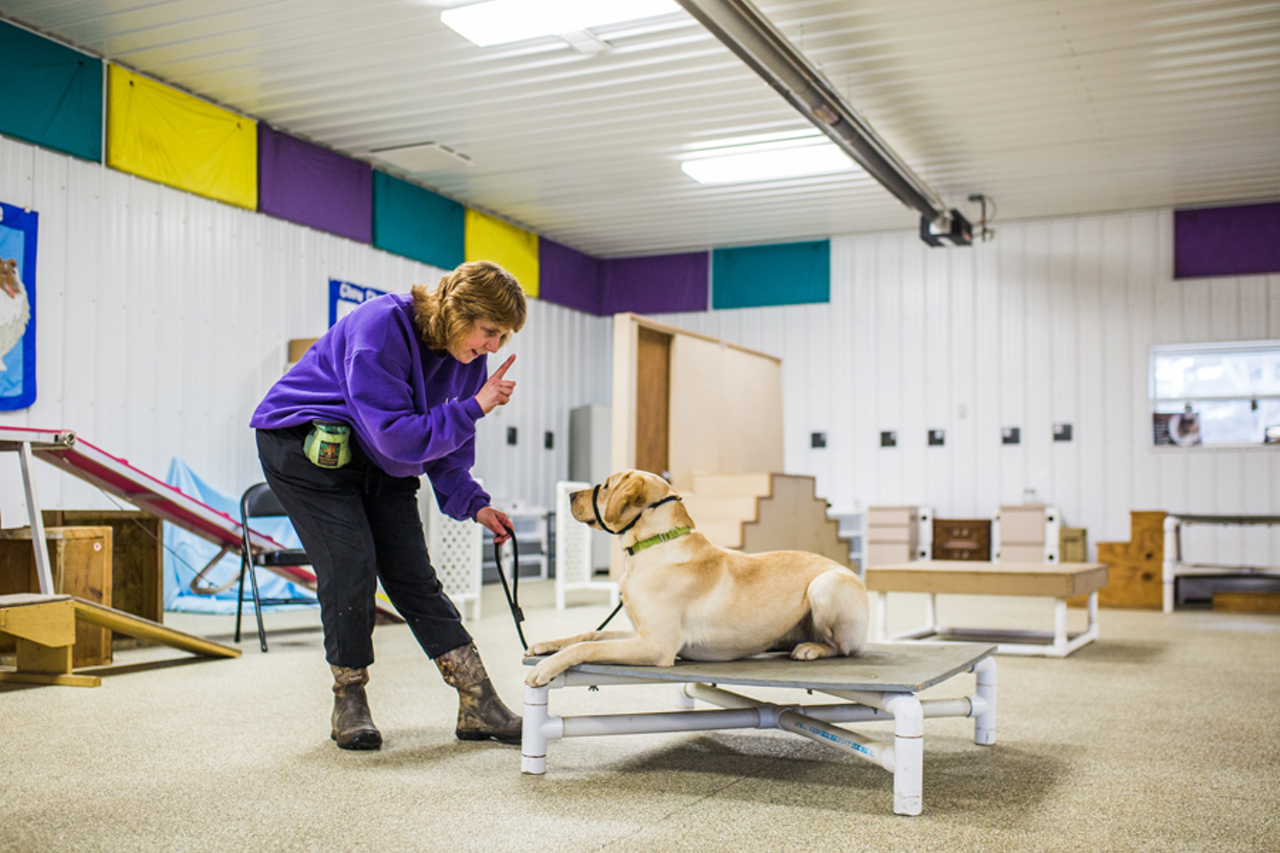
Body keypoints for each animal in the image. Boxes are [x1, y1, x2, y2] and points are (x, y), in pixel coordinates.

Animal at [519, 466, 870, 686]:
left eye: (605, 485)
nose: (569, 496)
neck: (652, 546)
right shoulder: (637, 631)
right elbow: (589, 635)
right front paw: (547, 645)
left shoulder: (657, 645)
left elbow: (585, 648)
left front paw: (547, 667)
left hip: (826, 585)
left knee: (843, 648)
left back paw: (812, 649)